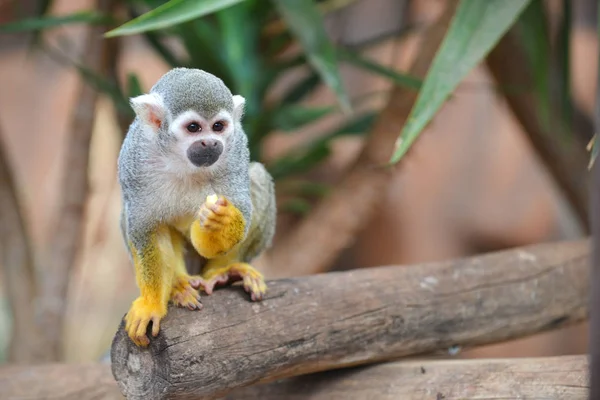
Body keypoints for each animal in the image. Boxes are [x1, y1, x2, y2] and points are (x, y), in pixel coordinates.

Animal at [116, 68, 276, 346]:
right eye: (193, 128)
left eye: (218, 127)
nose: (210, 143)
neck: (181, 160)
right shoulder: (135, 160)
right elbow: (147, 229)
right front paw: (152, 304)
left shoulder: (235, 150)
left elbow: (238, 218)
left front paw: (220, 222)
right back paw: (178, 285)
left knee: (257, 175)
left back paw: (222, 272)